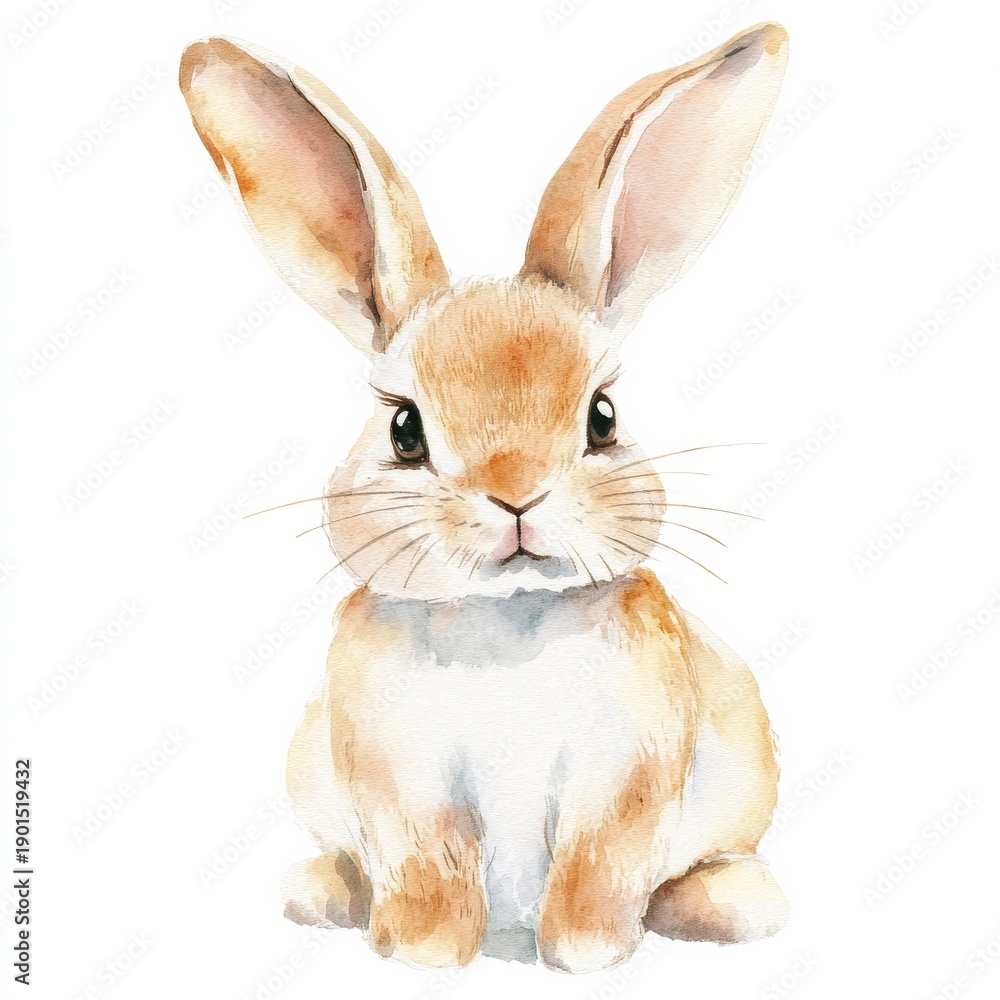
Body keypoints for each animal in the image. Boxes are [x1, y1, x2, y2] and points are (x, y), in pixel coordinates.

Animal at [180, 22, 790, 973]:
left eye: (603, 417)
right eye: (404, 430)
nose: (516, 497)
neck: (507, 621)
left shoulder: (624, 779)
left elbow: (596, 871)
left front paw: (583, 959)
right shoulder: (401, 783)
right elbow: (427, 868)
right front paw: (422, 956)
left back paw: (732, 906)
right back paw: (321, 893)